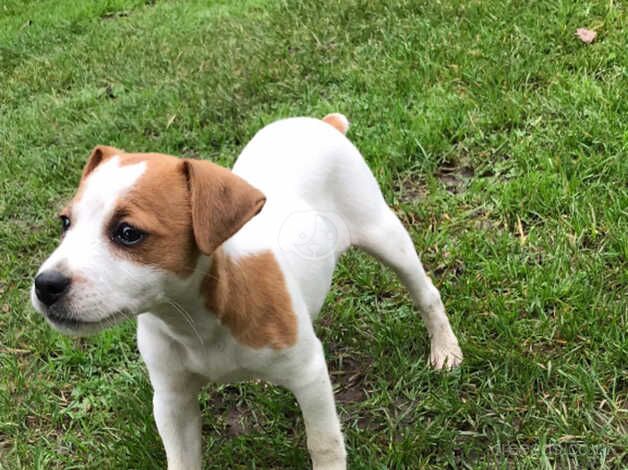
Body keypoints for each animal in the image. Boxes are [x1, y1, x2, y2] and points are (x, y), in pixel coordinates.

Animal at [31, 114, 462, 470]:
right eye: (65, 223)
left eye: (127, 233)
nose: (45, 285)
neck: (196, 319)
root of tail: (322, 122)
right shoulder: (171, 399)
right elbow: (181, 459)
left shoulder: (309, 375)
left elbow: (324, 443)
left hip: (384, 235)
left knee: (427, 293)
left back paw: (445, 350)